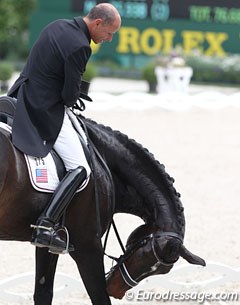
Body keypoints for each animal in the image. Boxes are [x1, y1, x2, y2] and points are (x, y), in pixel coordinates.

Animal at [0, 95, 204, 304]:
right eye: (143, 257)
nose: (116, 290)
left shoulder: (48, 243)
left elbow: (43, 292)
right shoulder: (88, 245)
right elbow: (99, 296)